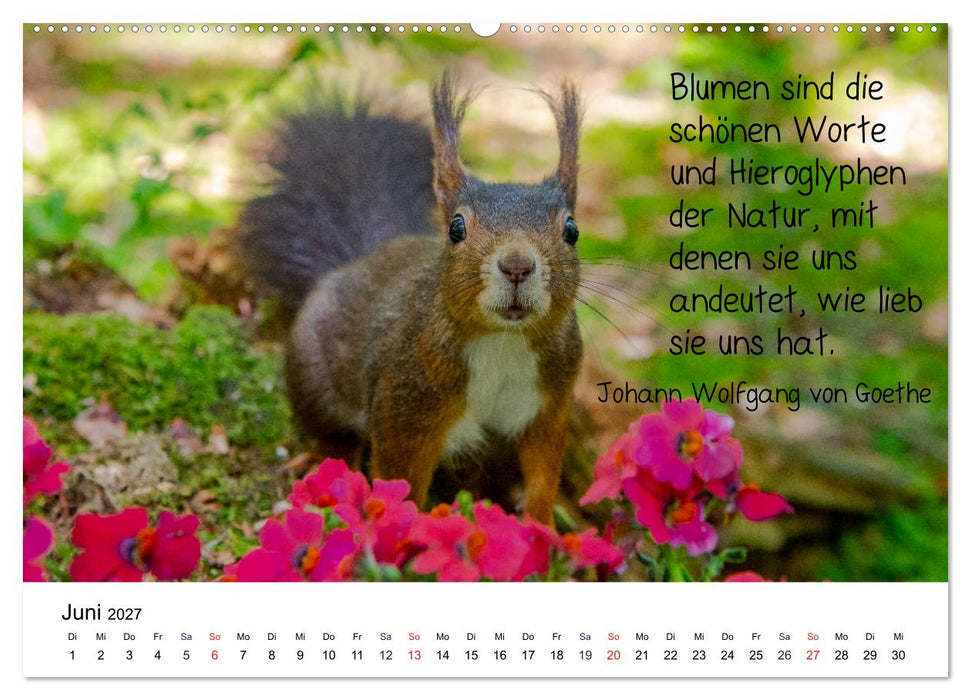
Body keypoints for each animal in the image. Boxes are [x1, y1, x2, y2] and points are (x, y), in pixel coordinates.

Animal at [238, 74, 583, 524]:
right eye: (456, 228)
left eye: (571, 230)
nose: (517, 267)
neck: (503, 341)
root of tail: (359, 260)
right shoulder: (404, 404)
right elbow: (400, 476)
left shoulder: (551, 402)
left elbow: (543, 470)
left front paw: (542, 527)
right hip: (310, 373)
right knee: (331, 430)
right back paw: (325, 456)